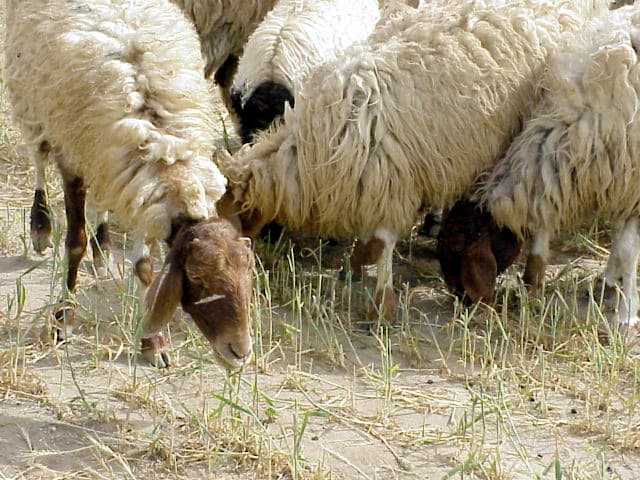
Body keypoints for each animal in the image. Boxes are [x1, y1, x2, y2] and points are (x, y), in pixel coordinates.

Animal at [5, 0, 256, 368]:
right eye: (196, 276)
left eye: (247, 273)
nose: (239, 352)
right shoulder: (73, 160)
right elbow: (74, 244)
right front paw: (62, 320)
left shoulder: (143, 188)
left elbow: (144, 269)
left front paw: (153, 343)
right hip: (31, 100)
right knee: (38, 159)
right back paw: (41, 227)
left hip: (102, 159)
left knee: (101, 200)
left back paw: (103, 250)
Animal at [437, 5, 640, 328]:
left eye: (456, 244)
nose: (459, 297)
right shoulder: (617, 176)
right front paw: (607, 282)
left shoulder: (632, 181)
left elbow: (629, 248)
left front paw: (627, 311)